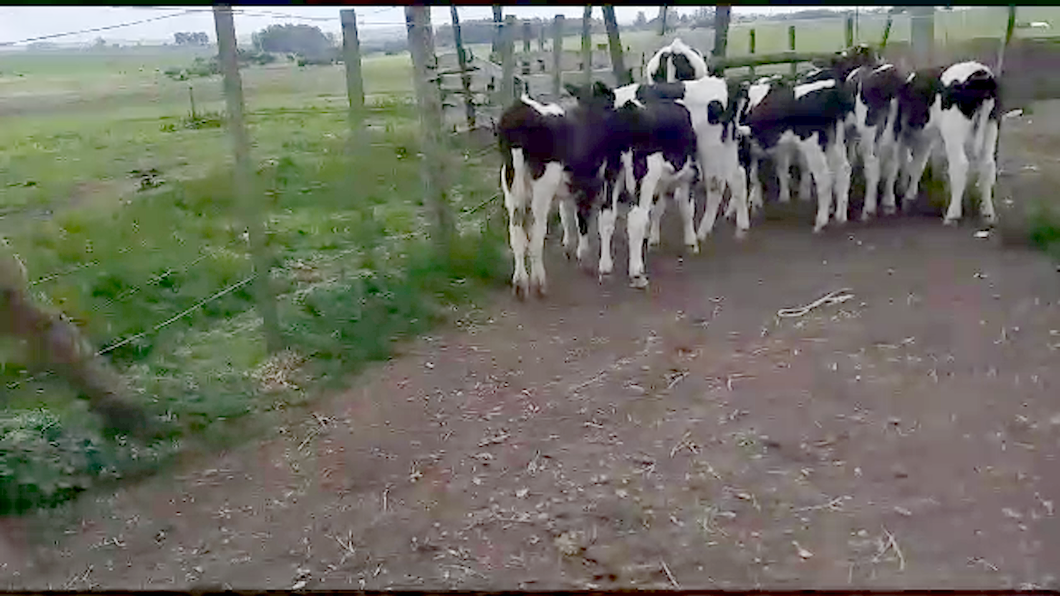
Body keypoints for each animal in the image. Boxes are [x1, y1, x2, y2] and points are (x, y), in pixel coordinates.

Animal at [498, 82, 619, 296]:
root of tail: (519, 113)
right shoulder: (602, 181)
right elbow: (590, 219)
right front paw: (587, 258)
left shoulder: (570, 185)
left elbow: (567, 214)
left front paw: (570, 248)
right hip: (542, 188)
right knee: (536, 235)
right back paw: (539, 282)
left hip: (510, 184)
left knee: (516, 234)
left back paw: (520, 283)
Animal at [894, 61, 1000, 224]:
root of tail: (981, 72)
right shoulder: (925, 138)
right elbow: (917, 165)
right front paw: (909, 195)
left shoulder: (907, 136)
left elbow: (907, 162)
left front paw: (903, 193)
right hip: (990, 127)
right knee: (988, 165)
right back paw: (988, 213)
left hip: (953, 131)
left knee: (960, 165)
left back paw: (952, 214)